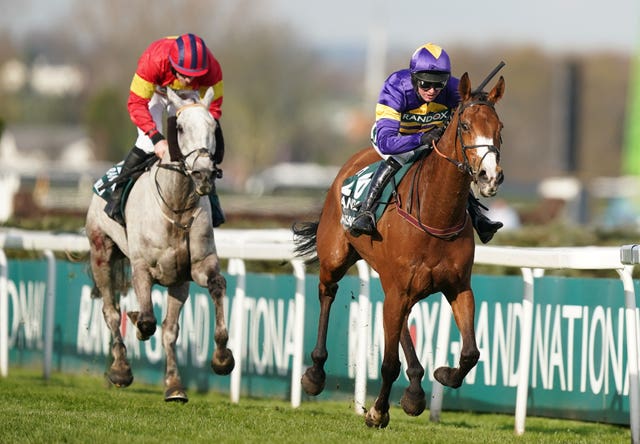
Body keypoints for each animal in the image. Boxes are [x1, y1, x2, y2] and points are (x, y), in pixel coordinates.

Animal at [85, 86, 235, 402]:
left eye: (213, 127)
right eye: (180, 127)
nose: (204, 173)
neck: (177, 206)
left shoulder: (195, 268)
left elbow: (216, 288)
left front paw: (221, 358)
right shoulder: (142, 268)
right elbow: (145, 320)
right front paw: (138, 327)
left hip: (178, 282)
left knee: (168, 329)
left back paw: (174, 384)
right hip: (101, 251)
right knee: (111, 312)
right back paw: (120, 369)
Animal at [294, 73, 504, 426]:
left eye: (499, 127)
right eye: (464, 126)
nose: (490, 176)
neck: (435, 214)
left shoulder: (458, 286)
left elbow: (471, 353)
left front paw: (443, 375)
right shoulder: (401, 288)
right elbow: (389, 363)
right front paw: (377, 412)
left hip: (396, 284)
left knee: (401, 322)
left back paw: (416, 390)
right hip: (337, 258)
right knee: (327, 291)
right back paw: (315, 373)